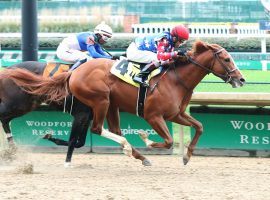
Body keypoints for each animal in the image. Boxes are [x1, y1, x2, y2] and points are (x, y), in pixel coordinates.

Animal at [0, 41, 245, 165]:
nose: (241, 79)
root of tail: (74, 73)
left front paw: (187, 155)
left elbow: (199, 126)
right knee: (99, 129)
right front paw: (146, 139)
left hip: (104, 105)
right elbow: (166, 141)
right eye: (226, 59)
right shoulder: (153, 116)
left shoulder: (175, 114)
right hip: (100, 100)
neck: (176, 79)